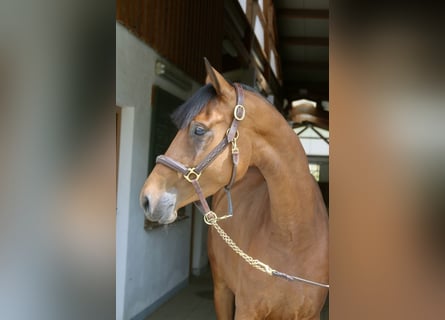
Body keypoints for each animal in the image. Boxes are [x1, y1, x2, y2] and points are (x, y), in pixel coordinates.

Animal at [140, 59, 328, 318]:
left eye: (198, 130)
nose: (147, 198)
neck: (294, 237)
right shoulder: (246, 309)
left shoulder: (311, 314)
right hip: (222, 290)